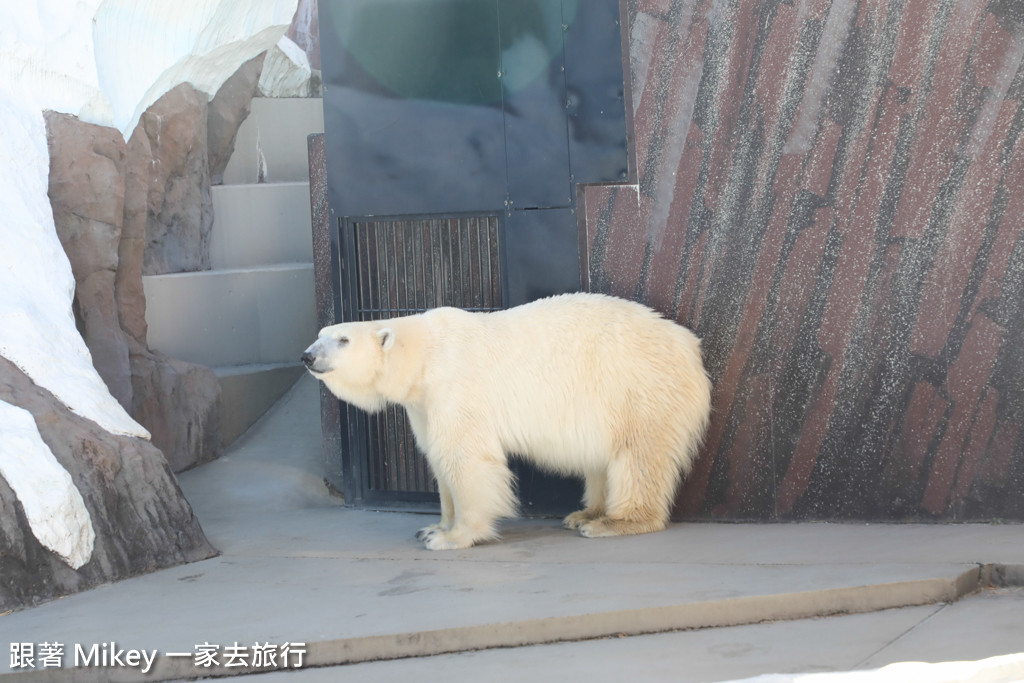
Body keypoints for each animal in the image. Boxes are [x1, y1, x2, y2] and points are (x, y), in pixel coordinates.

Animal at [299, 292, 708, 548]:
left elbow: (464, 457)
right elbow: (436, 456)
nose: (307, 356)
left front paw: (452, 537)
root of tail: (691, 348)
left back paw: (613, 522)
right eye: (319, 334)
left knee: (638, 458)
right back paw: (583, 513)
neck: (425, 352)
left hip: (639, 393)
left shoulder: (454, 386)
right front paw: (432, 527)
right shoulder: (424, 405)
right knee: (601, 462)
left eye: (343, 339)